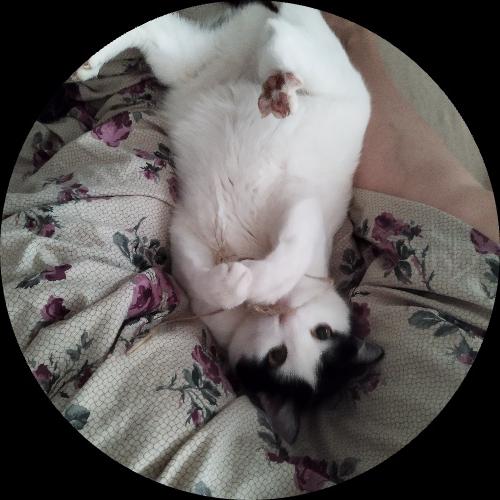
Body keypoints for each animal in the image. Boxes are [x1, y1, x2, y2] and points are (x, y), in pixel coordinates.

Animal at [74, 1, 383, 444]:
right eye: (321, 332)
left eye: (278, 356)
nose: (282, 316)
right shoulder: (300, 204)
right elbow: (288, 256)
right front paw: (250, 283)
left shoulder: (187, 232)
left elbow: (209, 277)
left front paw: (237, 282)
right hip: (317, 68)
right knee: (287, 40)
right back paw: (283, 86)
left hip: (183, 63)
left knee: (160, 30)